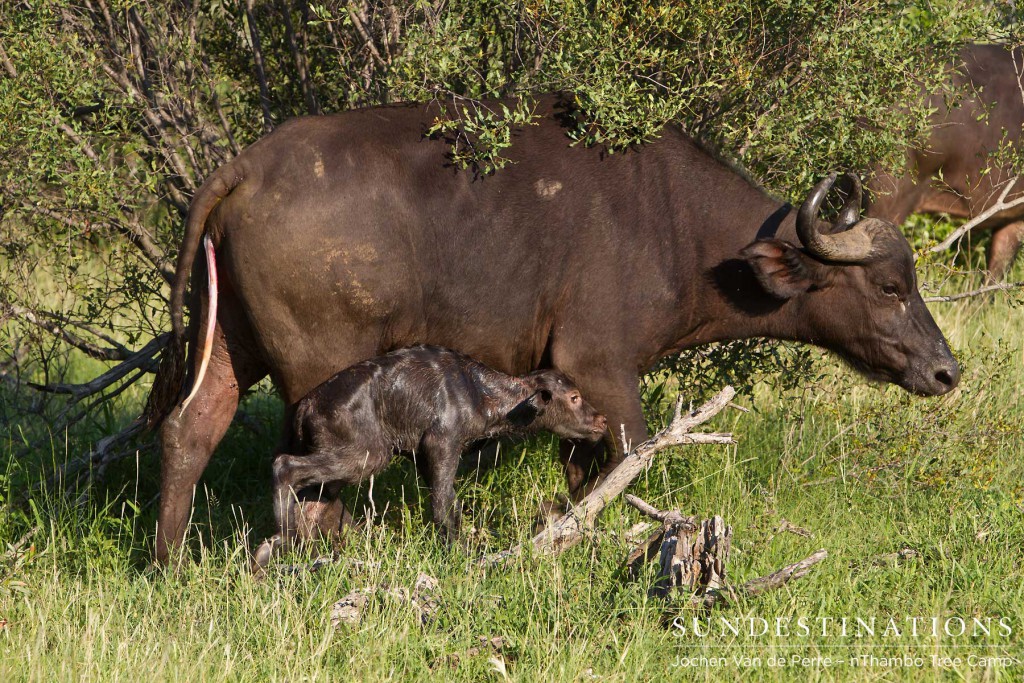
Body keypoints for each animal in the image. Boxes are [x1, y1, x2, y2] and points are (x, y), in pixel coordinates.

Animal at [254, 344, 602, 569]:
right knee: (284, 466)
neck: (481, 397)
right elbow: (443, 506)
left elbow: (447, 503)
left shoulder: (422, 456)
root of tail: (305, 409)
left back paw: (274, 555)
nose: (601, 421)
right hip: (366, 455)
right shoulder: (442, 443)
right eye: (574, 397)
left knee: (311, 500)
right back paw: (285, 542)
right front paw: (458, 554)